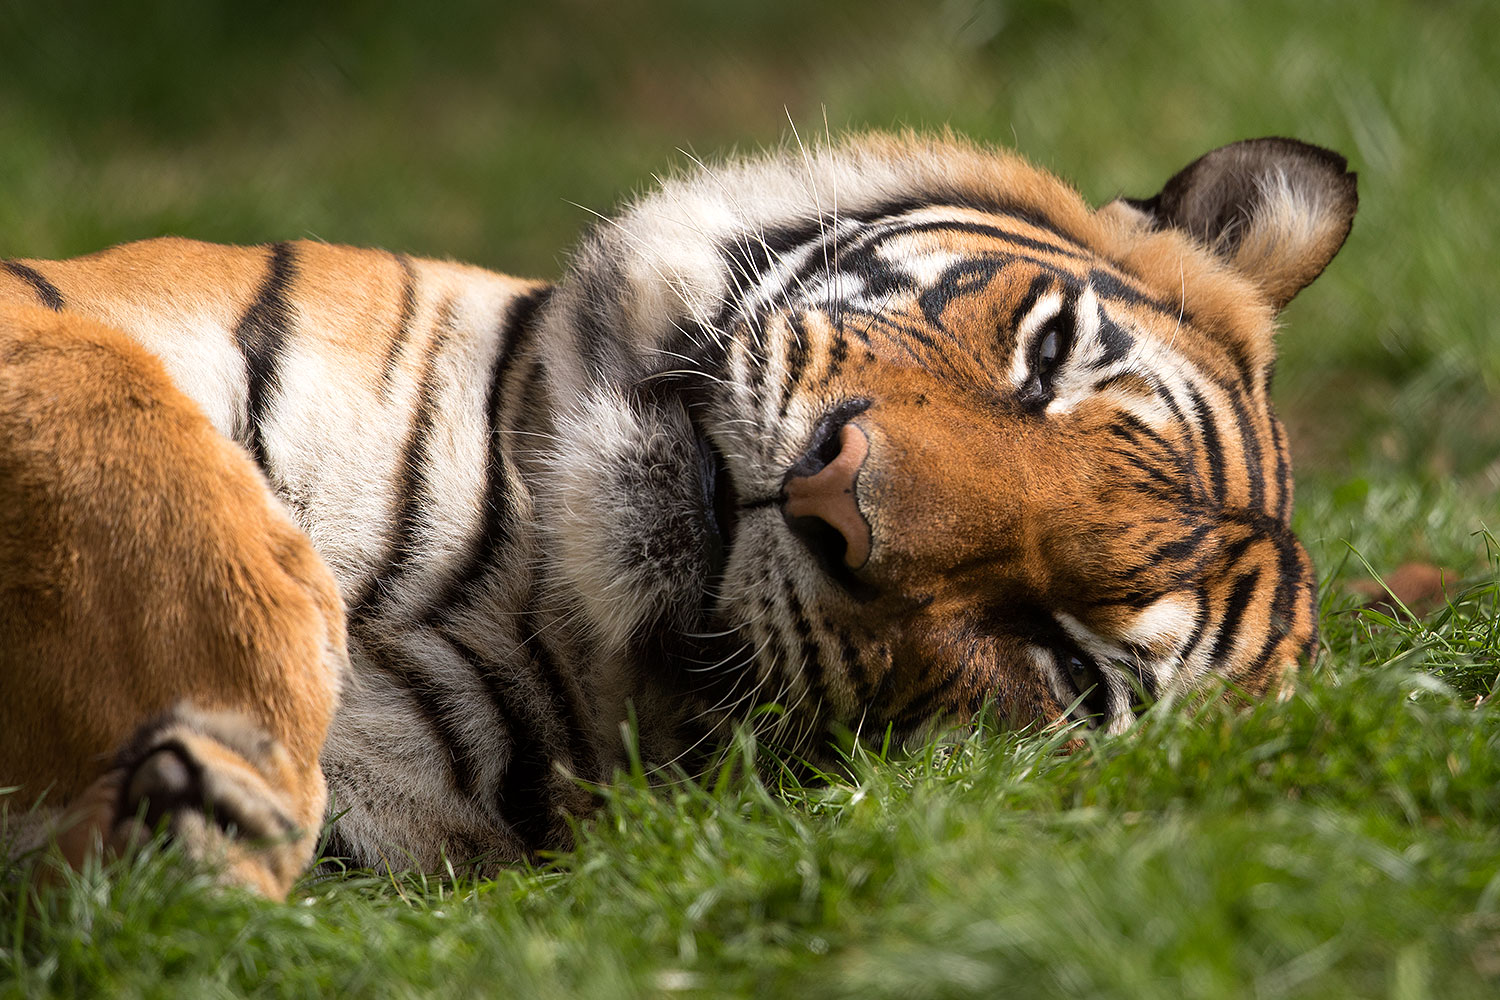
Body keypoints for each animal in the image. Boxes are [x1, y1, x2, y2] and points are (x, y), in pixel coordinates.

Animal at [0, 132, 1356, 898]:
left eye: (1070, 666)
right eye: (1051, 355)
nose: (835, 497)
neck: (502, 587)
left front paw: (205, 809)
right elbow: (135, 431)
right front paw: (233, 743)